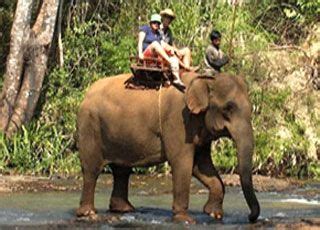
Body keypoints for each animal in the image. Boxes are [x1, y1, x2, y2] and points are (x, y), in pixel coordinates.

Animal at [75, 71, 260, 223]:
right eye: (228, 108)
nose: (250, 217)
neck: (204, 79)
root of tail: (86, 94)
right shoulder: (177, 119)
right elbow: (182, 163)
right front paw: (185, 220)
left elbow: (201, 165)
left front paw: (214, 214)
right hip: (89, 127)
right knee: (92, 170)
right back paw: (88, 214)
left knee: (122, 170)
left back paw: (124, 210)